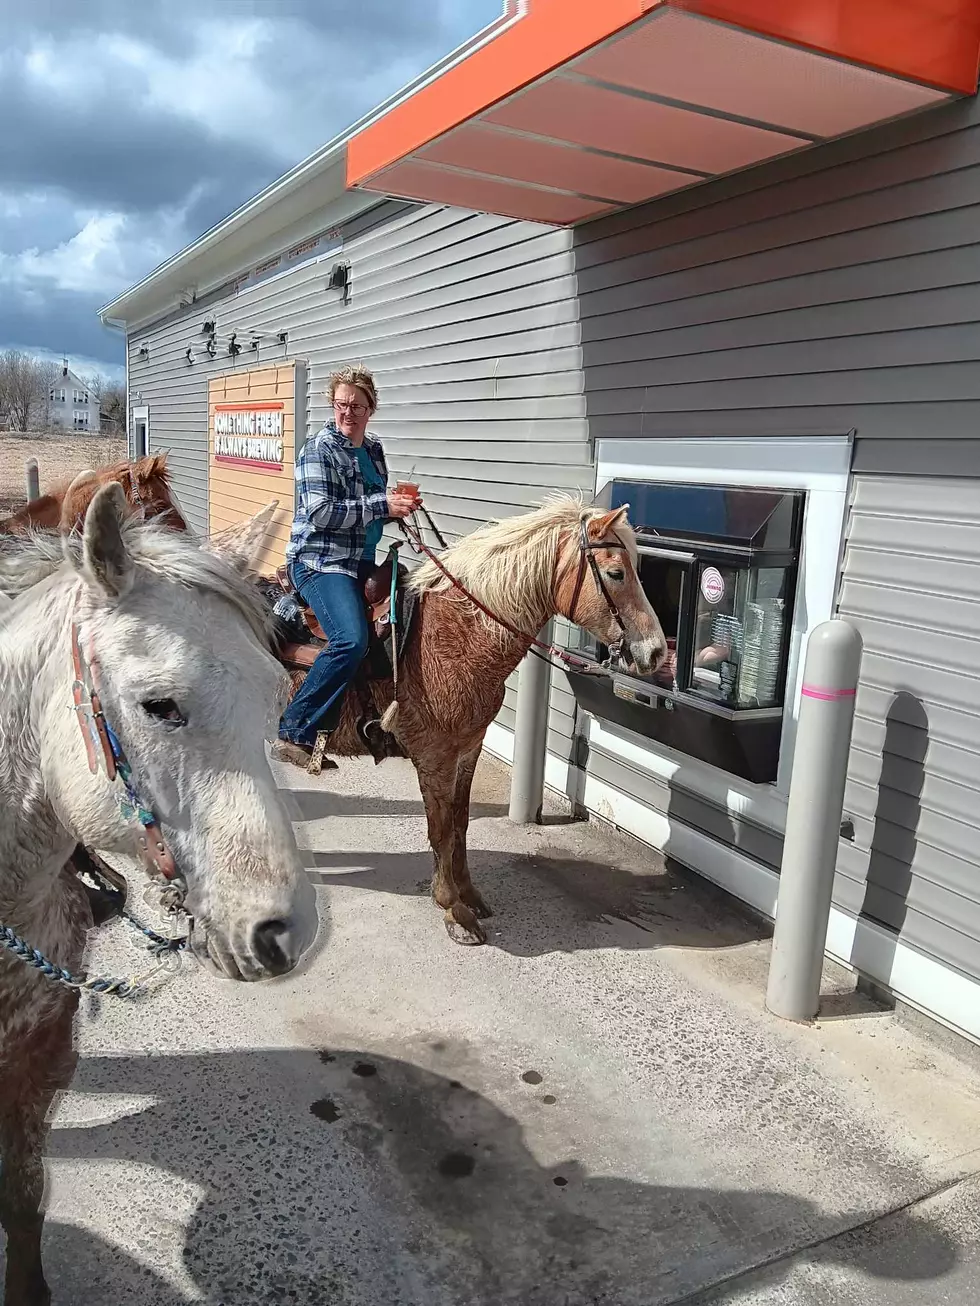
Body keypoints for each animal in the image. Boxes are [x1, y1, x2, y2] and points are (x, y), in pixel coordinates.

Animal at [268, 496, 666, 948]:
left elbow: (460, 822)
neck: (456, 635)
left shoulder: (468, 748)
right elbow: (440, 828)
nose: (656, 653)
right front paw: (453, 909)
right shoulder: (434, 756)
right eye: (616, 573)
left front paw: (469, 894)